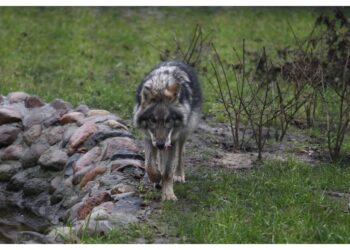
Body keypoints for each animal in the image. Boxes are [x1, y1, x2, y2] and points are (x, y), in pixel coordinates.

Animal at [132, 61, 202, 201]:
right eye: (152, 120)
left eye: (168, 120)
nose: (160, 144)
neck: (160, 85)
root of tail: (176, 61)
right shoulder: (148, 138)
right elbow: (149, 166)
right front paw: (157, 178)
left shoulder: (172, 141)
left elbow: (168, 171)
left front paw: (168, 194)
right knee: (160, 158)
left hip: (183, 134)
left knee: (181, 154)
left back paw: (179, 175)